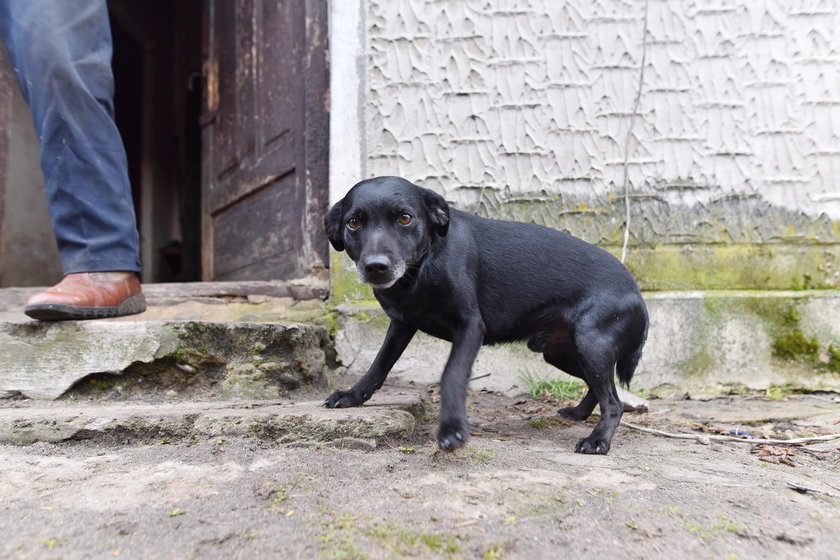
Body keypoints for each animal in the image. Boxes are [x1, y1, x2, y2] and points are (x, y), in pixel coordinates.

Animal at [324, 177, 648, 452]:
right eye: (353, 222)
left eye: (405, 218)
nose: (376, 267)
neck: (422, 269)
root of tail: (636, 290)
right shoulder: (402, 324)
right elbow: (379, 364)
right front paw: (353, 395)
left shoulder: (470, 327)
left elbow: (451, 375)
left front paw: (452, 429)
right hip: (561, 352)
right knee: (601, 387)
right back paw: (579, 413)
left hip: (589, 345)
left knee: (614, 402)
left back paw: (598, 440)